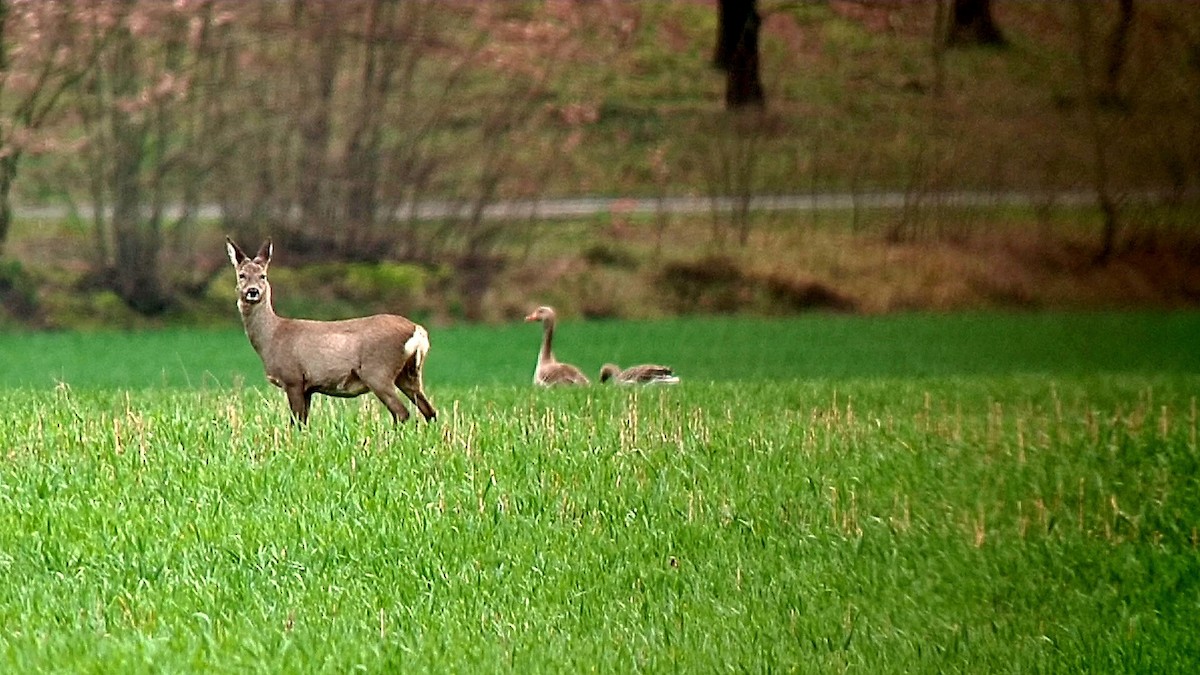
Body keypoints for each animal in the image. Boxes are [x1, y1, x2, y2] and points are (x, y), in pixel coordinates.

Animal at [225, 236, 436, 422]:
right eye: (242, 275)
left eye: (263, 276)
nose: (253, 291)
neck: (272, 336)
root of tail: (417, 330)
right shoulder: (308, 387)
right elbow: (303, 422)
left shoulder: (293, 378)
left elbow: (296, 422)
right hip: (408, 373)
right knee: (430, 411)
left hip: (378, 371)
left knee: (402, 413)